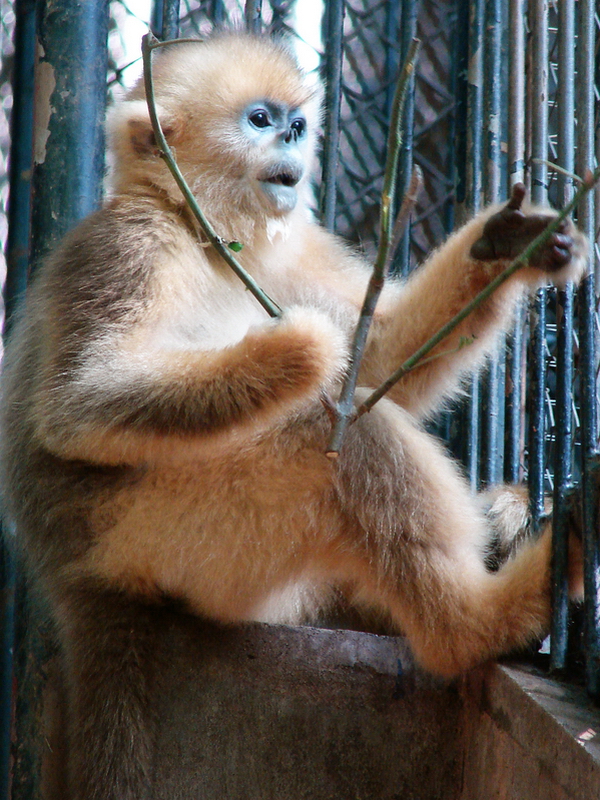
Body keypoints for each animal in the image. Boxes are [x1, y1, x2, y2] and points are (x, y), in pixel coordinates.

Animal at [0, 32, 587, 800]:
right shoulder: (129, 244)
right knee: (334, 434)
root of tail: (78, 579)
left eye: (298, 125)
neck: (204, 237)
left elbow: (382, 358)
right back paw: (479, 622)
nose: (290, 140)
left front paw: (507, 243)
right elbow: (77, 406)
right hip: (173, 540)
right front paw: (302, 349)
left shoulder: (285, 251)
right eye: (259, 119)